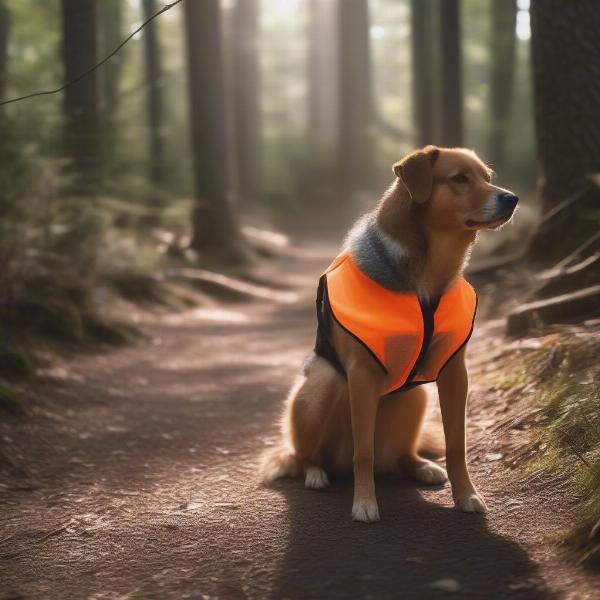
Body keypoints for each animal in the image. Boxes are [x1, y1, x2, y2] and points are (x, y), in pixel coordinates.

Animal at [260, 145, 516, 520]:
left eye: (487, 177)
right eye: (460, 178)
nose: (512, 198)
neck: (428, 275)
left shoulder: (456, 372)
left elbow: (457, 444)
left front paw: (466, 494)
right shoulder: (362, 374)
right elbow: (363, 451)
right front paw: (365, 503)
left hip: (416, 396)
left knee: (401, 456)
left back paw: (422, 466)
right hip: (321, 386)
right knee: (305, 455)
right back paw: (316, 474)